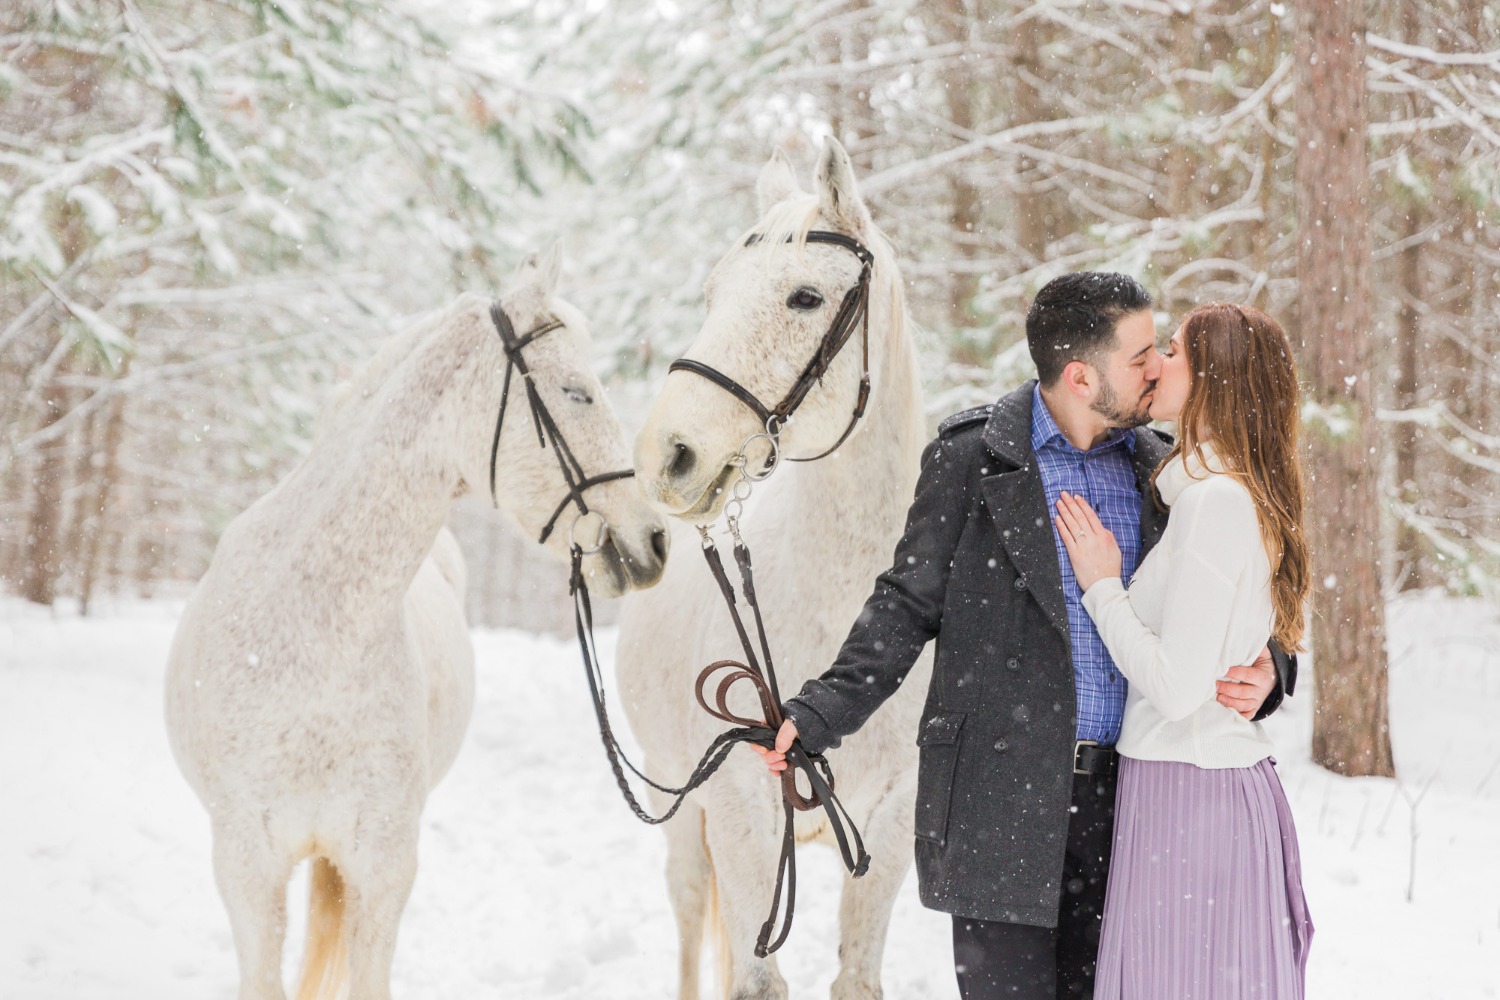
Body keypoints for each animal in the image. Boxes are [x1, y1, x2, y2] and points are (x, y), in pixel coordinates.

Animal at [618, 140, 924, 1000]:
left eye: (805, 296)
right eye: (714, 292)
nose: (666, 455)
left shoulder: (888, 824)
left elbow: (856, 978)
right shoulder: (739, 812)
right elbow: (754, 981)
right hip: (680, 807)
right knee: (692, 919)